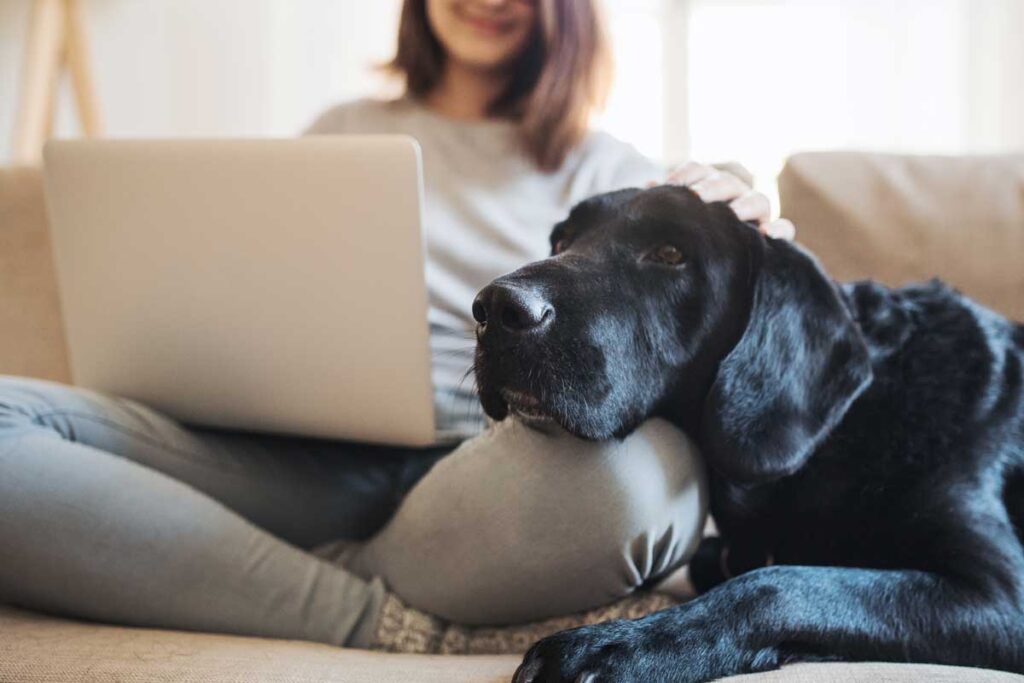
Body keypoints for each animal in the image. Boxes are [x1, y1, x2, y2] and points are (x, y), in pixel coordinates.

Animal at [471, 183, 1024, 683]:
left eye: (671, 253)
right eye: (561, 240)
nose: (494, 308)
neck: (844, 432)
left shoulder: (1002, 596)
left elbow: (776, 584)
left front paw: (615, 647)